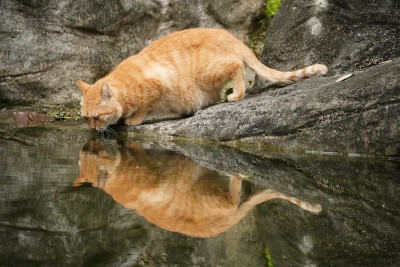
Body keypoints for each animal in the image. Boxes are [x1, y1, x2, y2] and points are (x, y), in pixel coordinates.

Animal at [76, 27, 328, 130]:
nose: (93, 130)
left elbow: (144, 108)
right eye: (86, 118)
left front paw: (133, 119)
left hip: (209, 72)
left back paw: (237, 95)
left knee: (237, 67)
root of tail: (232, 37)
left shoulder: (157, 86)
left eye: (97, 117)